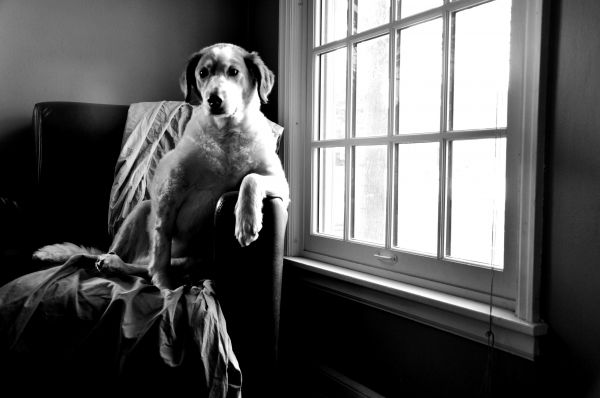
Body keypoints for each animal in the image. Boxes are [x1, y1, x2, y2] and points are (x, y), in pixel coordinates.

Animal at [33, 44, 290, 290]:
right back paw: (111, 261)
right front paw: (164, 285)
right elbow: (161, 246)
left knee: (143, 267)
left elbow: (251, 178)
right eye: (203, 73)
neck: (224, 134)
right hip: (141, 209)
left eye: (234, 72)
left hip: (195, 258)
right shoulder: (170, 191)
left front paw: (247, 220)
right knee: (130, 257)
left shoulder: (280, 185)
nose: (213, 100)